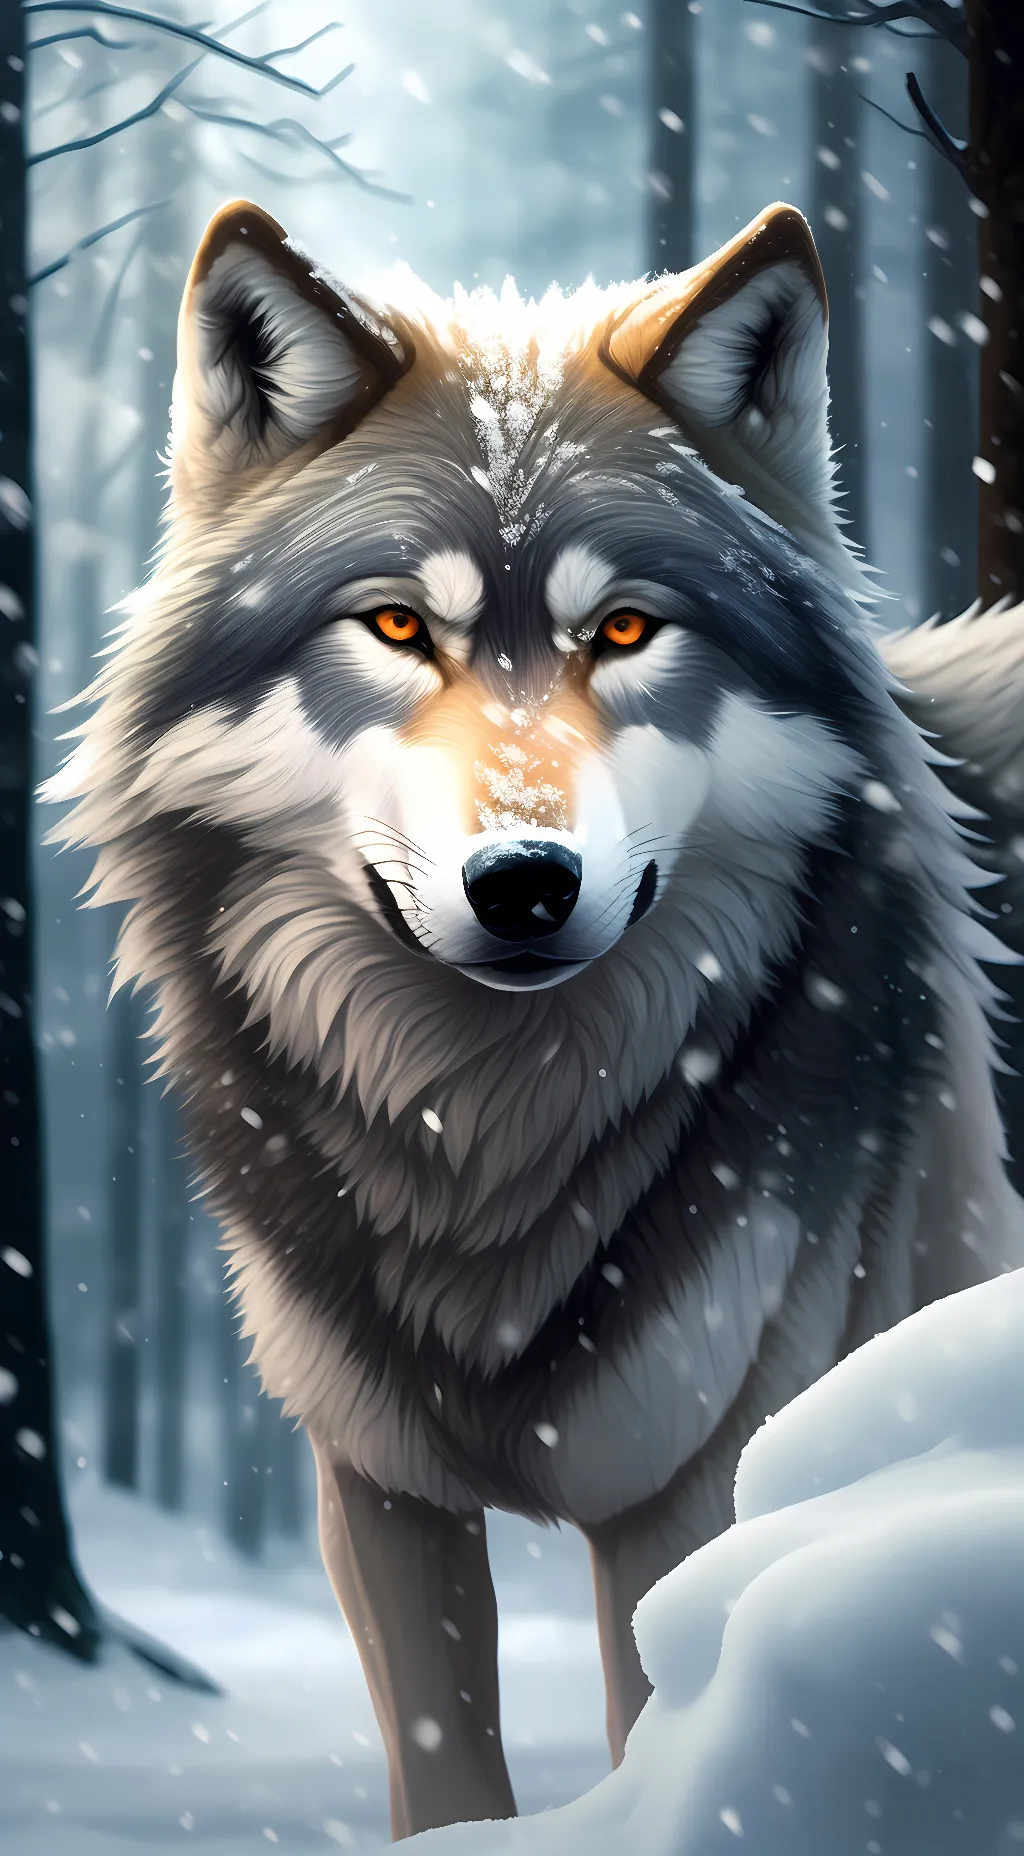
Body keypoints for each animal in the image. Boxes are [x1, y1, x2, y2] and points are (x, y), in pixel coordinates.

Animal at [46, 197, 1024, 1838]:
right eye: (395, 625)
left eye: (625, 630)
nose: (523, 884)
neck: (489, 1145)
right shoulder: (377, 1486)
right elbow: (444, 1770)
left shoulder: (697, 1476)